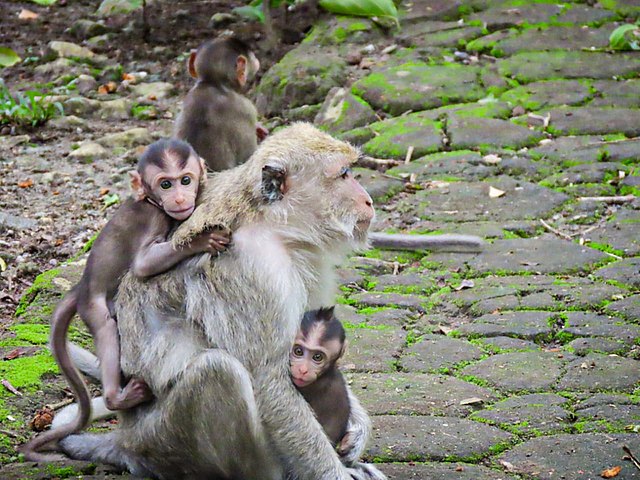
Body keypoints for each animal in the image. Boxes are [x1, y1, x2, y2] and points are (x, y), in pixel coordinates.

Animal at [21, 138, 231, 462]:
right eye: (165, 184)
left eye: (186, 180)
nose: (180, 197)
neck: (152, 203)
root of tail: (81, 286)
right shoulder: (156, 219)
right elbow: (143, 266)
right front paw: (202, 240)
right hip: (93, 306)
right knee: (107, 329)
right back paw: (116, 398)